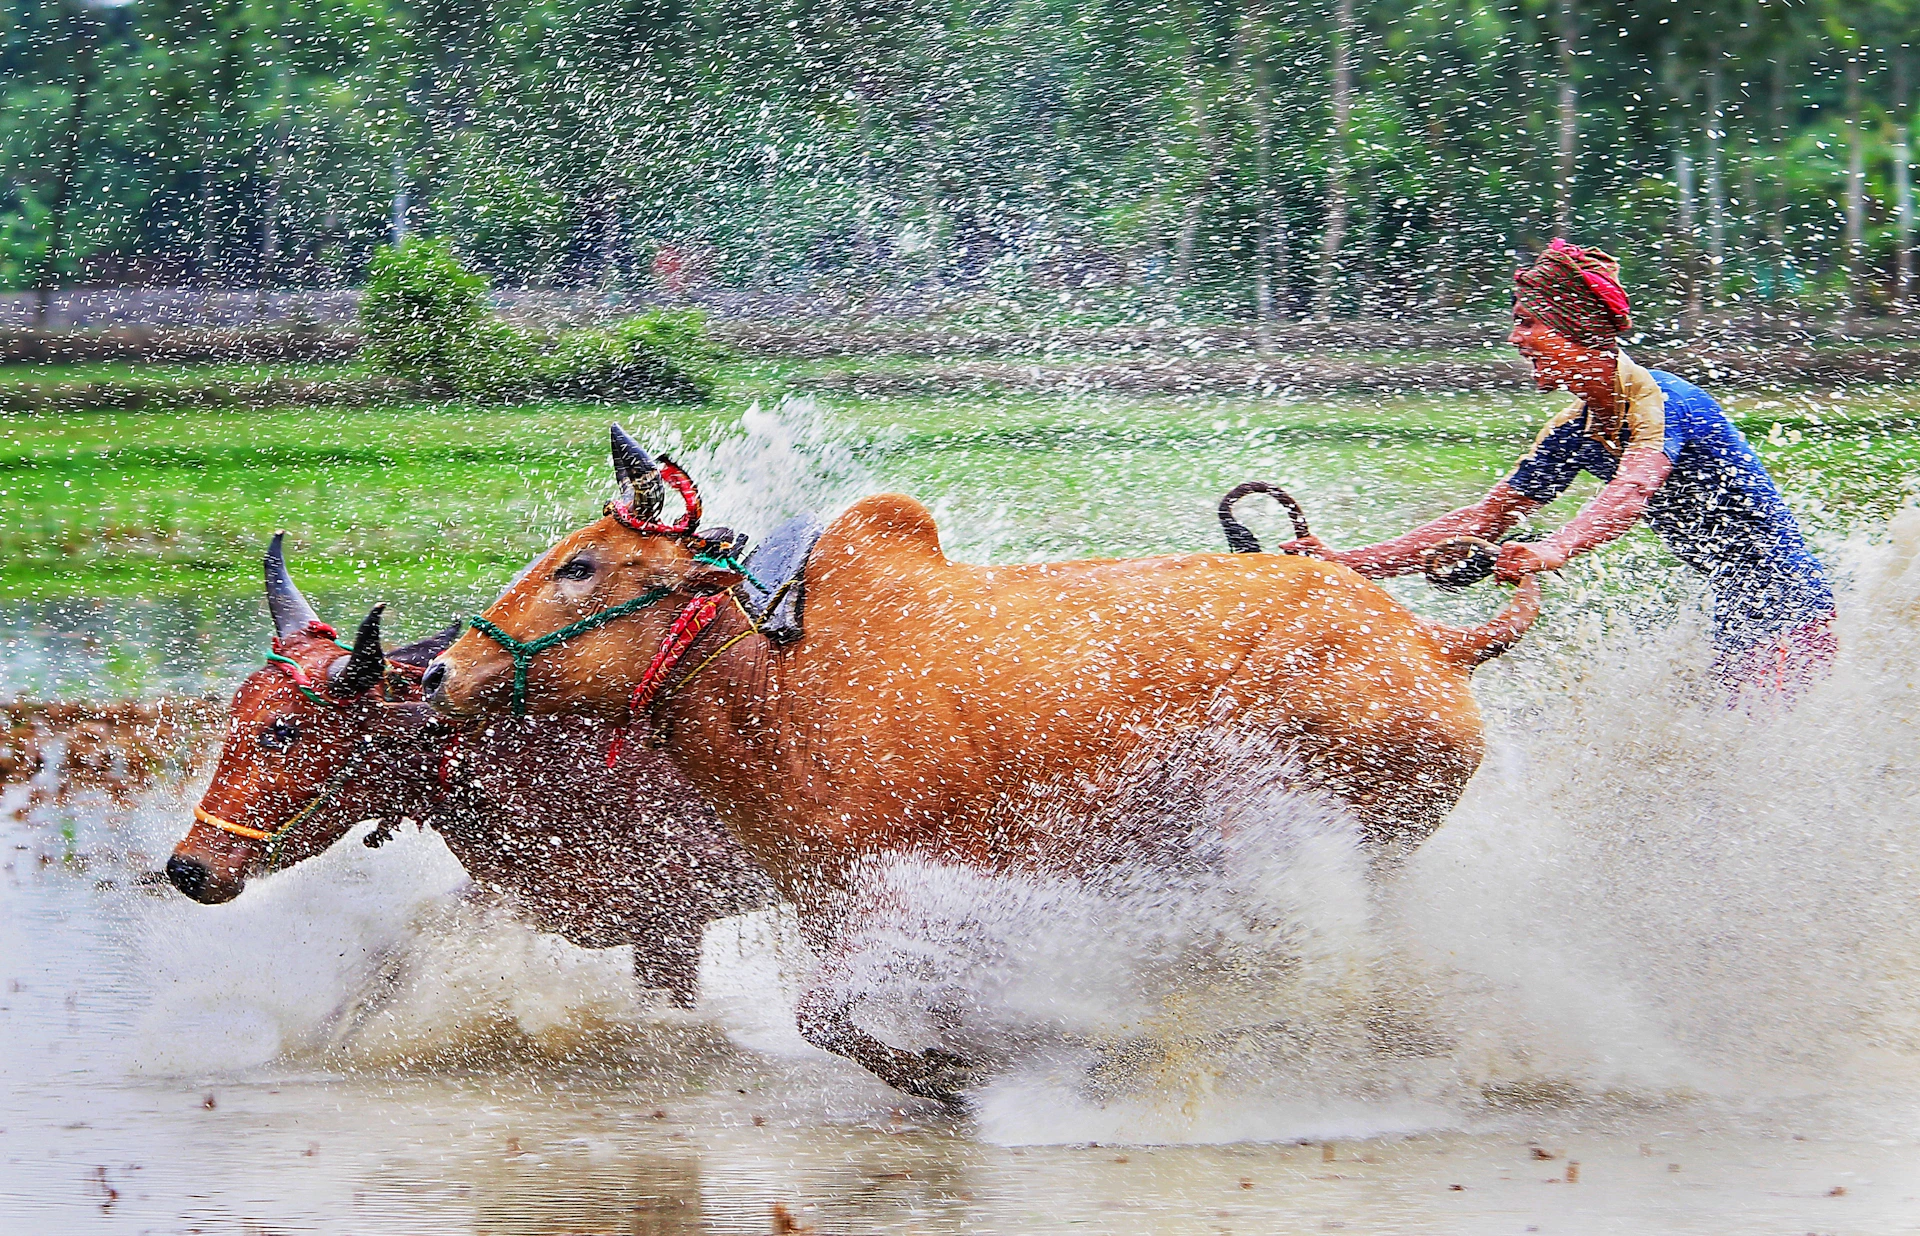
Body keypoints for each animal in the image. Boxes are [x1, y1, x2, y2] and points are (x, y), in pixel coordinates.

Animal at [421, 426, 1540, 1100]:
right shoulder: (828, 901)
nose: (439, 671)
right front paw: (951, 1062)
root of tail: (1431, 644)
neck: (776, 681)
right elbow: (841, 1020)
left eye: (580, 565)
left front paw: (950, 1078)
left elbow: (828, 1017)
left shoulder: (917, 890)